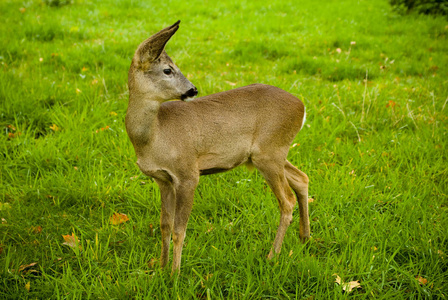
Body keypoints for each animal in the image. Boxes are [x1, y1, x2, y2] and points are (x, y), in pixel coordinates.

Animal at [124, 19, 310, 274]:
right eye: (168, 70)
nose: (193, 90)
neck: (154, 137)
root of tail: (302, 107)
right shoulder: (162, 179)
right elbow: (164, 225)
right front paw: (159, 269)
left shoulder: (188, 173)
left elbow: (179, 230)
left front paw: (174, 274)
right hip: (271, 152)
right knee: (302, 178)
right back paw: (305, 238)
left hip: (269, 152)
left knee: (287, 201)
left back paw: (272, 256)